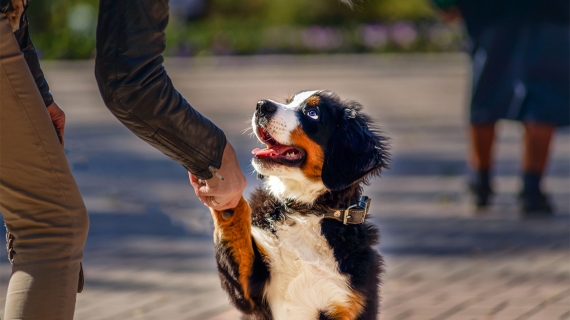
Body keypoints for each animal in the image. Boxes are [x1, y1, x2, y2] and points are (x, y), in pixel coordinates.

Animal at [210, 90, 390, 320]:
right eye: (288, 102)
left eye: (312, 113)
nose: (261, 105)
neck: (306, 212)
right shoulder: (248, 292)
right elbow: (236, 228)